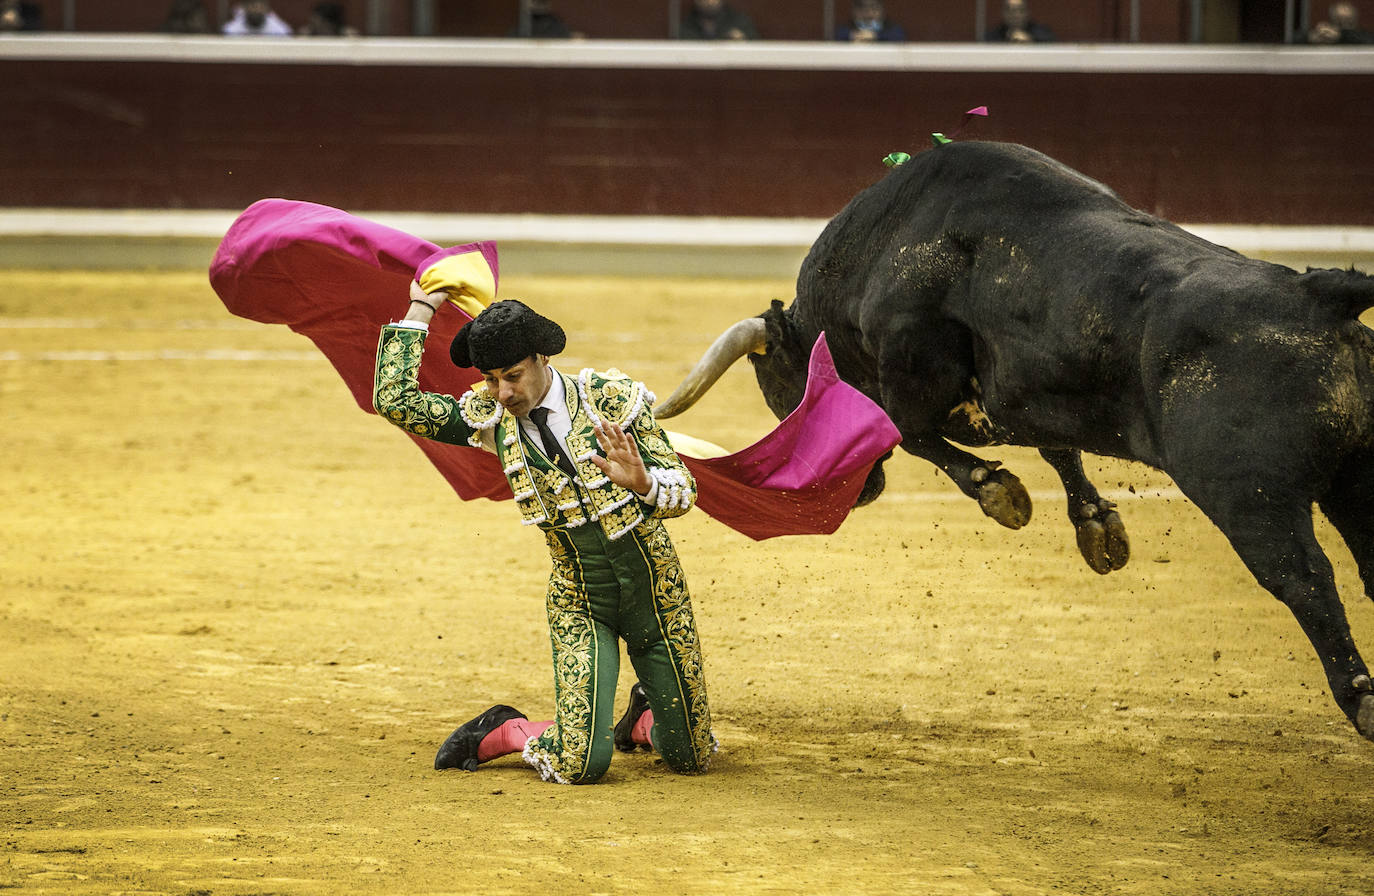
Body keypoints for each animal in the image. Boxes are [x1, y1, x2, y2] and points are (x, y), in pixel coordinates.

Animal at [654, 140, 1374, 742]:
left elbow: (914, 433)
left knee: (1305, 578)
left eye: (782, 381)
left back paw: (1360, 699)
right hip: (1351, 484)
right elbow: (1054, 447)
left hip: (1251, 498)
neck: (882, 247)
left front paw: (1000, 490)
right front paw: (1097, 527)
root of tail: (1319, 295)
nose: (863, 491)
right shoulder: (1023, 393)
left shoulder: (918, 368)